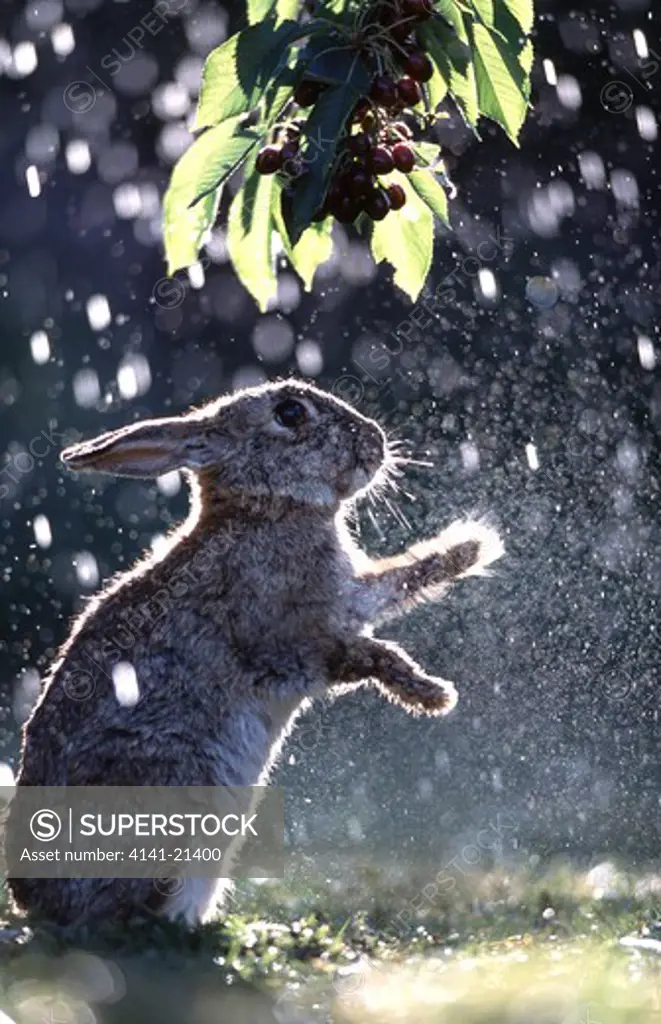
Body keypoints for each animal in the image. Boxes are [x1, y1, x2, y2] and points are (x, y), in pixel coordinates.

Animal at [5, 376, 505, 929]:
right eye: (290, 414)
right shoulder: (298, 638)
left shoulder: (342, 605)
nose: (376, 441)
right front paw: (434, 695)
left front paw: (471, 546)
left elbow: (394, 583)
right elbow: (374, 649)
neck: (265, 507)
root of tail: (36, 906)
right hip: (174, 785)